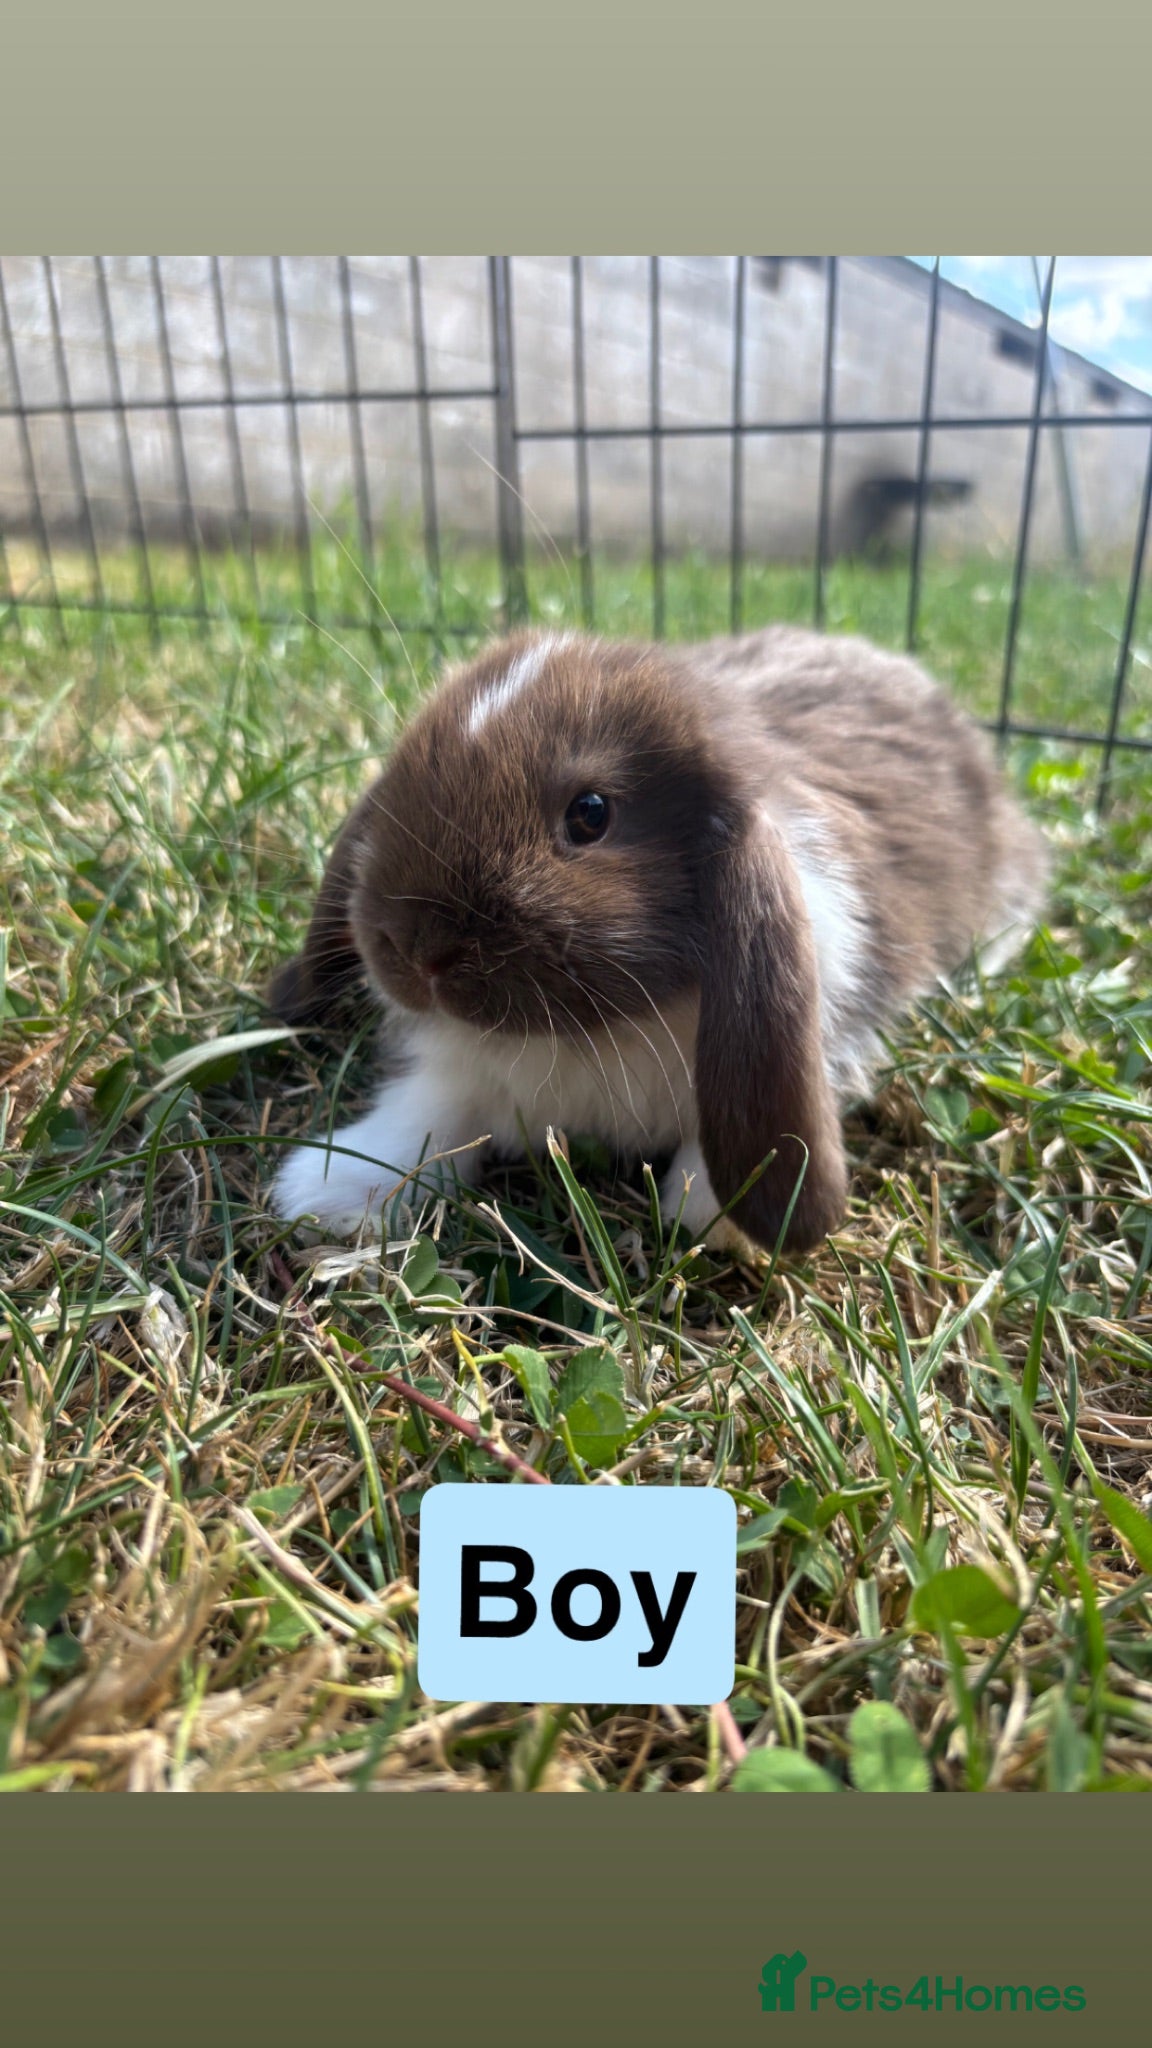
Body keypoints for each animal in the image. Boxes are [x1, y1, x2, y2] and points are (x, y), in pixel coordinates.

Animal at [267, 625, 1048, 1255]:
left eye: (590, 813)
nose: (413, 950)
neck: (595, 1033)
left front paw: (711, 1217)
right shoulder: (466, 1077)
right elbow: (430, 1111)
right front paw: (330, 1188)